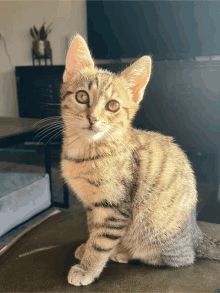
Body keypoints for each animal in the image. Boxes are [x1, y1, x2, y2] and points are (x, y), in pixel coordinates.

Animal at [60, 34, 220, 286]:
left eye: (113, 105)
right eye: (81, 96)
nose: (92, 118)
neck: (86, 149)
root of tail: (196, 234)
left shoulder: (114, 206)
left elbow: (101, 240)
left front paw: (87, 267)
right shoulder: (92, 204)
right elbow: (93, 228)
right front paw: (86, 247)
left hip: (156, 232)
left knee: (178, 259)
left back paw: (123, 252)